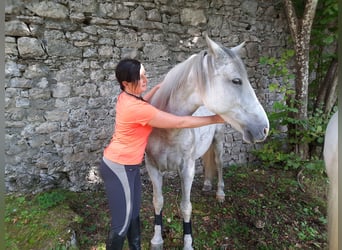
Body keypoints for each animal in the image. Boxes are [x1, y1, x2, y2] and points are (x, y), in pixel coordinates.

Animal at [146, 36, 268, 249]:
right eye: (236, 80)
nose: (264, 128)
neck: (167, 128)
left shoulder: (186, 169)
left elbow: (186, 207)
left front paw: (187, 243)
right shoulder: (152, 167)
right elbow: (158, 202)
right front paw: (157, 240)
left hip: (218, 143)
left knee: (218, 164)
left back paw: (219, 193)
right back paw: (206, 185)